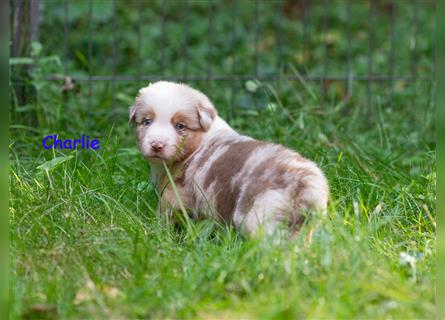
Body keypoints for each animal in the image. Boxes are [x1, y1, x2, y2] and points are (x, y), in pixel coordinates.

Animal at [130, 81, 328, 236]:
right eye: (147, 121)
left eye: (180, 126)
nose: (157, 145)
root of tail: (304, 185)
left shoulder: (176, 194)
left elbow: (165, 214)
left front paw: (155, 231)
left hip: (260, 215)